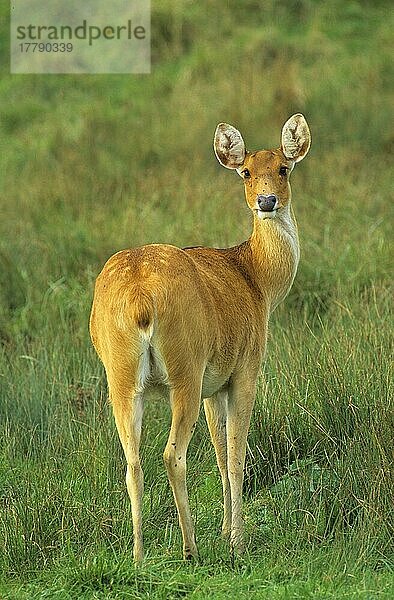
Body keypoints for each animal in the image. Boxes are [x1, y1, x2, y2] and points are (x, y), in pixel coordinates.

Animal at [89, 112, 310, 564]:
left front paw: (226, 529)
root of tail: (141, 299)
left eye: (283, 167)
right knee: (172, 454)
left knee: (132, 462)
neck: (256, 279)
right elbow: (236, 455)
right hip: (184, 370)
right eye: (246, 172)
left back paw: (138, 556)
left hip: (120, 378)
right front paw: (237, 540)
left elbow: (221, 454)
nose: (266, 202)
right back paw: (190, 548)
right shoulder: (244, 370)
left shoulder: (214, 386)